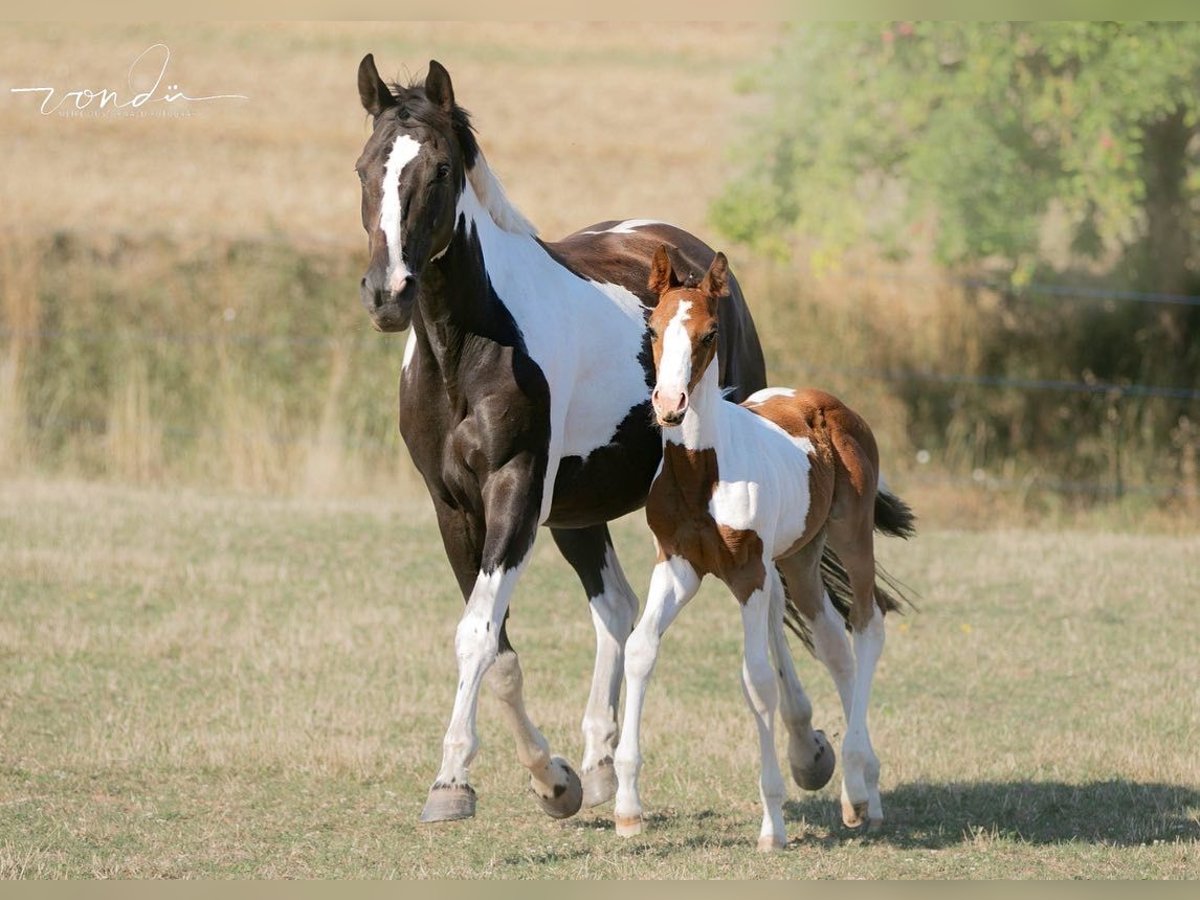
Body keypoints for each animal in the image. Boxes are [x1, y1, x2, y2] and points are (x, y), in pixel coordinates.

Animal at [355, 56, 768, 825]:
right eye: (366, 167)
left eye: (441, 168)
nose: (387, 294)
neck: (468, 350)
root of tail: (696, 259)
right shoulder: (453, 508)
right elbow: (496, 646)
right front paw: (554, 781)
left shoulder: (515, 492)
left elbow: (477, 636)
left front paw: (451, 782)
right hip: (580, 509)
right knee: (617, 609)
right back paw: (602, 765)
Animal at [619, 247, 916, 854]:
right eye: (653, 328)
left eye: (709, 334)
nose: (669, 405)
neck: (701, 472)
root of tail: (829, 403)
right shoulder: (678, 565)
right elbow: (639, 650)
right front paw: (628, 809)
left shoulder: (749, 573)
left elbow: (756, 680)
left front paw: (773, 824)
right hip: (799, 559)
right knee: (834, 645)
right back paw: (860, 791)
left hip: (849, 536)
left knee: (867, 626)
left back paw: (861, 783)